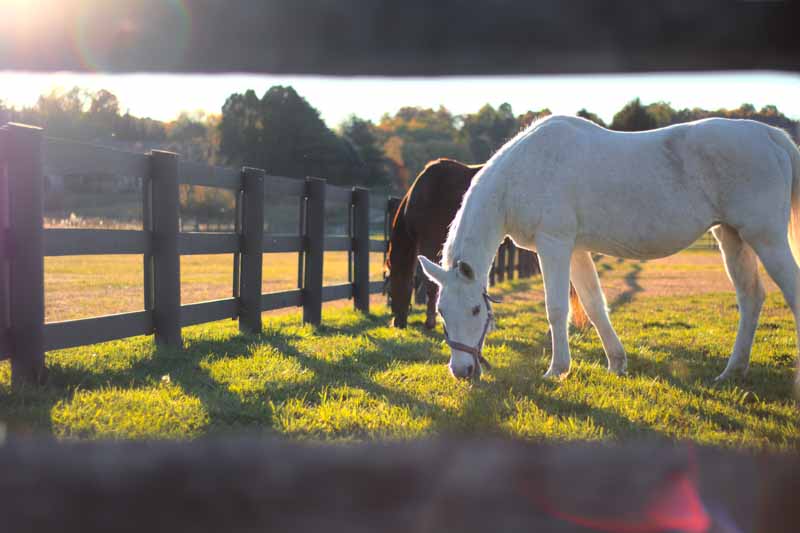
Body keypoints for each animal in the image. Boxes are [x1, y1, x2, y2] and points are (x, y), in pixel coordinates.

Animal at [418, 114, 800, 380]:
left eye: (475, 310)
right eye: (442, 312)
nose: (462, 370)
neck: (522, 173)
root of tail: (770, 137)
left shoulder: (554, 244)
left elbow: (557, 308)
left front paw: (557, 370)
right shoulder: (575, 250)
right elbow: (594, 305)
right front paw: (616, 362)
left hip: (765, 237)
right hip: (732, 236)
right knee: (751, 297)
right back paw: (732, 371)